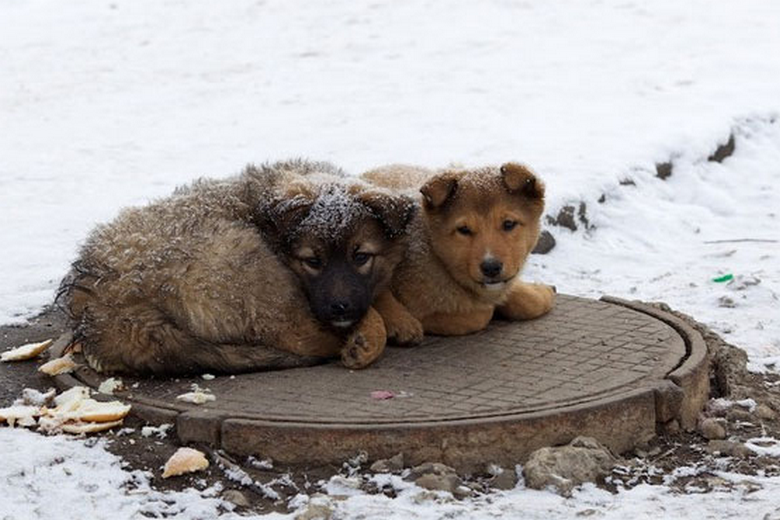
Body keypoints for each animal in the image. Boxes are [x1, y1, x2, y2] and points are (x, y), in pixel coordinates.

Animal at [58, 160, 414, 376]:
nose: (341, 307)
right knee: (301, 336)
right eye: (312, 261)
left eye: (361, 257)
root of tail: (107, 309)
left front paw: (399, 318)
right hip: (247, 259)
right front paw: (374, 328)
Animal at [362, 160, 556, 344]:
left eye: (509, 224)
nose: (491, 268)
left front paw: (543, 291)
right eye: (464, 230)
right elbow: (480, 315)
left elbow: (527, 302)